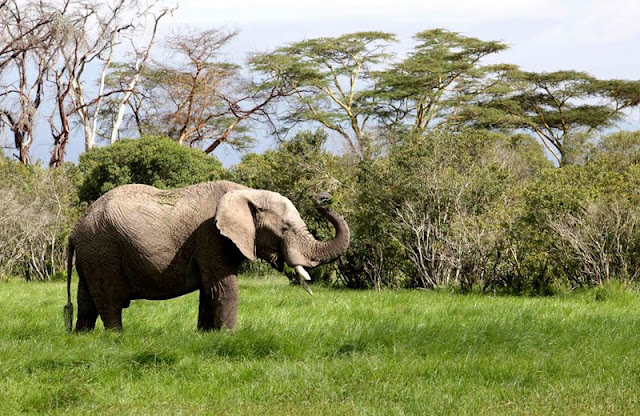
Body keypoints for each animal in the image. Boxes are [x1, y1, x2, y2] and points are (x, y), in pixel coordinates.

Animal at [63, 180, 350, 332]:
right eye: (285, 229)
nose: (324, 197)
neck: (246, 192)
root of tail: (75, 230)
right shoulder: (211, 237)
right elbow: (224, 287)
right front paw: (229, 337)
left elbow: (208, 291)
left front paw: (204, 335)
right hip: (103, 250)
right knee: (109, 300)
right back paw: (117, 338)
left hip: (92, 254)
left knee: (86, 300)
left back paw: (82, 338)